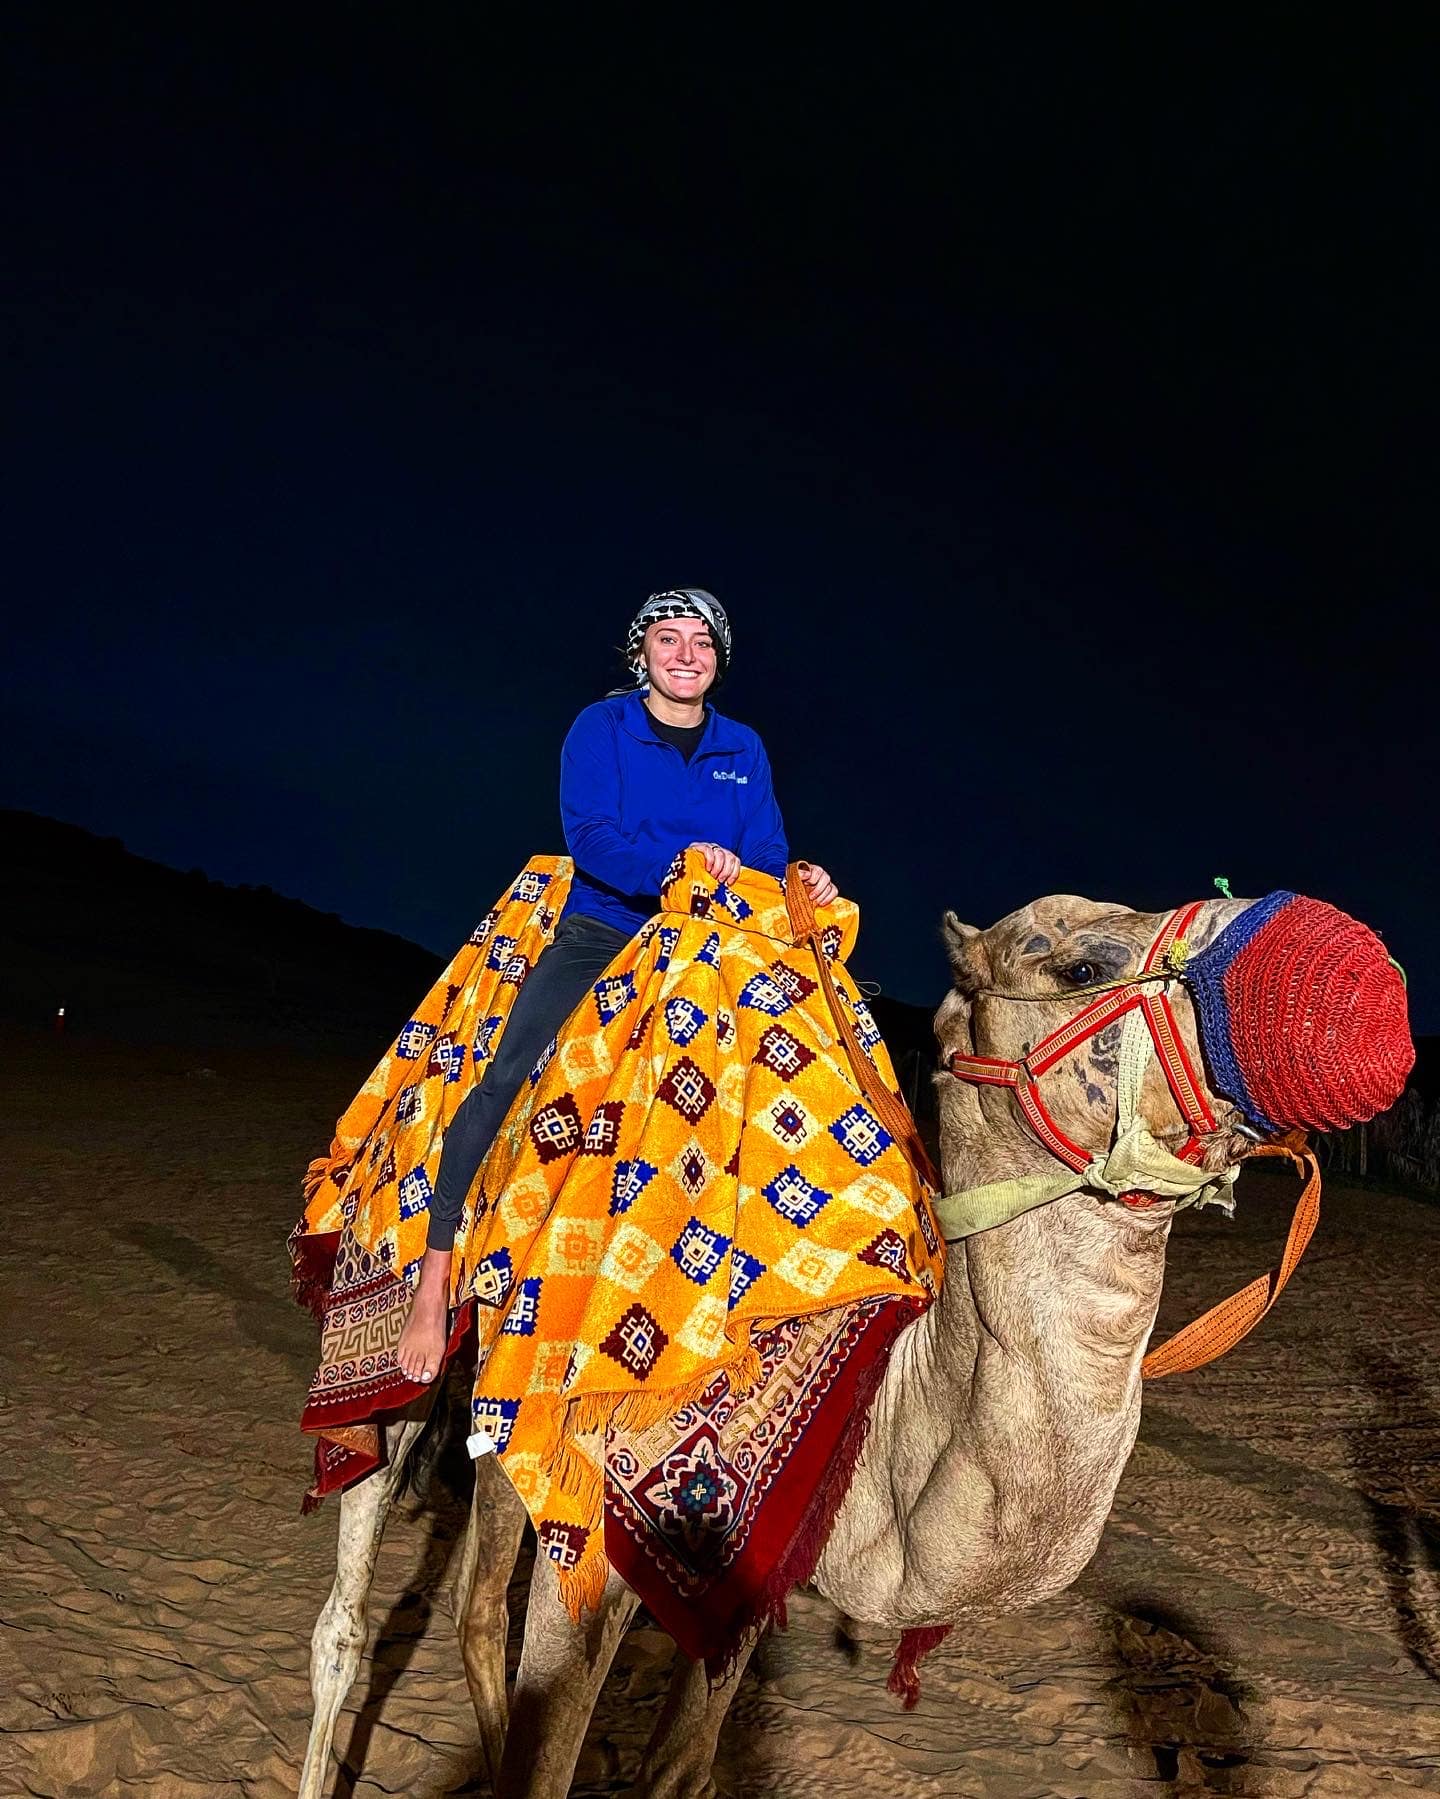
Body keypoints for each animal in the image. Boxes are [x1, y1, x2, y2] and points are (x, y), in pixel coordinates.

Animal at [295, 888, 1375, 1799]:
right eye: (1080, 964)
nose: (1307, 942)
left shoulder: (743, 1551)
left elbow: (678, 1769)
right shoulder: (599, 1505)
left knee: (475, 1602)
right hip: (403, 1338)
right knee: (352, 1615)